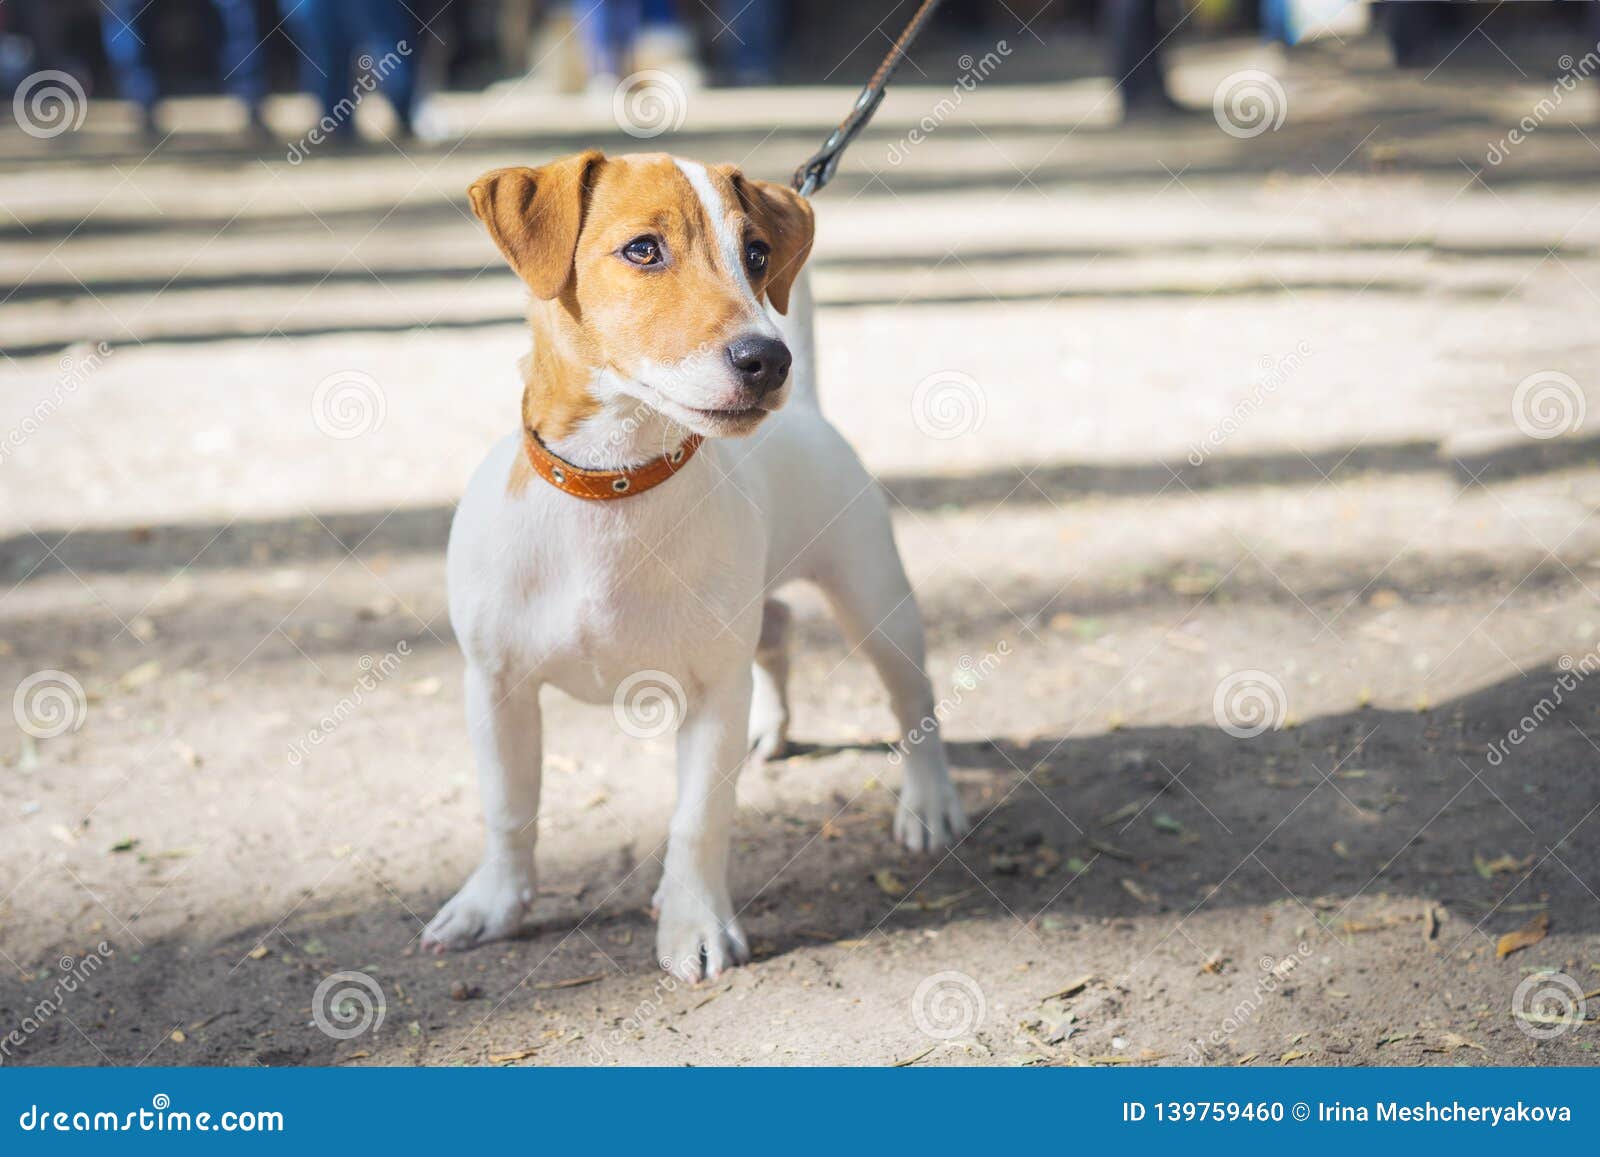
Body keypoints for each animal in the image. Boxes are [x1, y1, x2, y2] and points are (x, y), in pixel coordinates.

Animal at [425, 151, 966, 979]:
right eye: (643, 249)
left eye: (758, 254)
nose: (768, 358)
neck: (614, 484)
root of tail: (810, 411)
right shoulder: (495, 683)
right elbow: (509, 806)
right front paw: (493, 903)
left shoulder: (712, 692)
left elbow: (698, 819)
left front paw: (695, 925)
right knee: (775, 631)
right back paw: (771, 727)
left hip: (876, 601)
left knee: (913, 697)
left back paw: (928, 803)